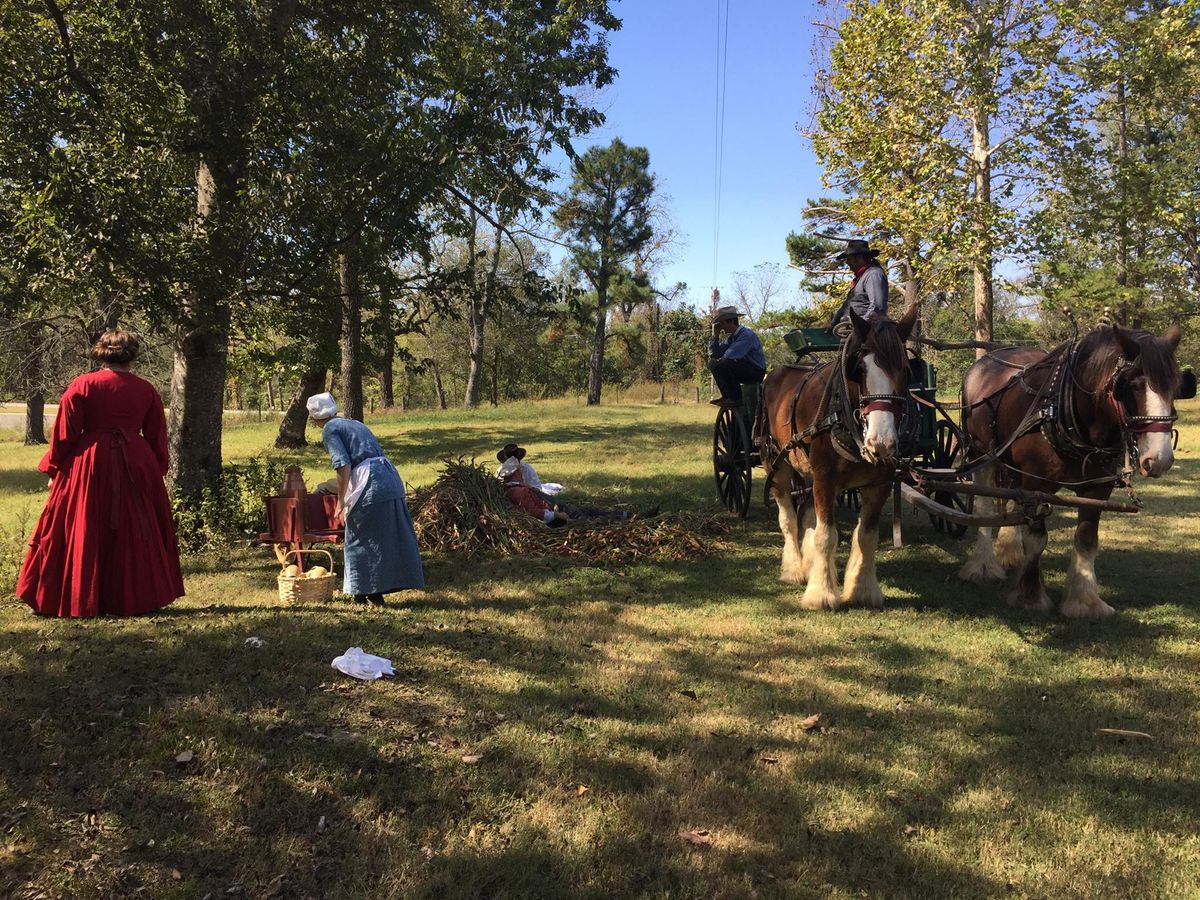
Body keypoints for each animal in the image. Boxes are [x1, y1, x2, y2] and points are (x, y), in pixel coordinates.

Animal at [758, 304, 916, 614]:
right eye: (860, 369)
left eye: (905, 369)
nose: (881, 442)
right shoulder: (825, 478)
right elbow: (826, 534)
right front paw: (821, 595)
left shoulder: (879, 484)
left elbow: (866, 536)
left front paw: (862, 590)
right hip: (777, 462)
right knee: (788, 518)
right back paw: (794, 569)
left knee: (807, 515)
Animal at [955, 324, 1180, 619]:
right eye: (1132, 385)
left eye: (1176, 386)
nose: (1160, 459)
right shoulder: (1037, 485)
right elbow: (1037, 538)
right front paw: (1030, 596)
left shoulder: (1098, 487)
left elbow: (1086, 539)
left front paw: (1085, 601)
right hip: (980, 453)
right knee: (983, 505)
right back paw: (982, 566)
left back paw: (1009, 552)